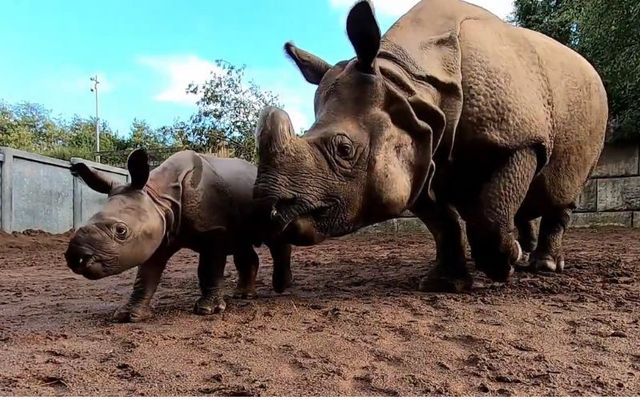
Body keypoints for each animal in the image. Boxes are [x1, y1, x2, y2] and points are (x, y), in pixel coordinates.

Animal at [64, 148, 290, 324]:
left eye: (121, 231)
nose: (75, 257)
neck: (158, 197)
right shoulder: (157, 233)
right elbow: (146, 275)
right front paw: (128, 315)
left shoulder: (214, 231)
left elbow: (209, 269)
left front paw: (208, 311)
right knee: (242, 245)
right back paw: (243, 295)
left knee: (275, 238)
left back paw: (281, 288)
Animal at [252, 0, 608, 290]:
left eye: (344, 150)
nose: (268, 210)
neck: (410, 84)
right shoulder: (419, 147)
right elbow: (443, 222)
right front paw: (445, 283)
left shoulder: (519, 139)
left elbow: (492, 212)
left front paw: (500, 267)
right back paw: (523, 255)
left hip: (589, 108)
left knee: (561, 190)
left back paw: (543, 265)